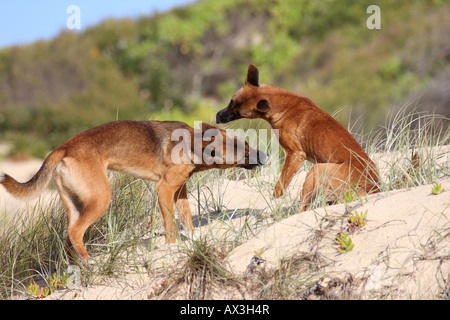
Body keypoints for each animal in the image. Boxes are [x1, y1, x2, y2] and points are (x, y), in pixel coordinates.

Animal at [0, 119, 268, 262]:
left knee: (69, 236)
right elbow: (171, 226)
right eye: (244, 151)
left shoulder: (179, 191)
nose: (264, 155)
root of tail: (65, 147)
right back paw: (89, 263)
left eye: (246, 144)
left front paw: (193, 238)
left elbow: (187, 219)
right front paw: (172, 248)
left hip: (76, 204)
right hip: (101, 198)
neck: (191, 144)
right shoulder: (164, 190)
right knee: (76, 233)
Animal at [216, 64, 378, 211]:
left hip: (316, 170)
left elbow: (279, 187)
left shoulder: (295, 154)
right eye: (231, 101)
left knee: (302, 208)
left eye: (239, 113)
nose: (217, 117)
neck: (285, 107)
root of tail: (374, 188)